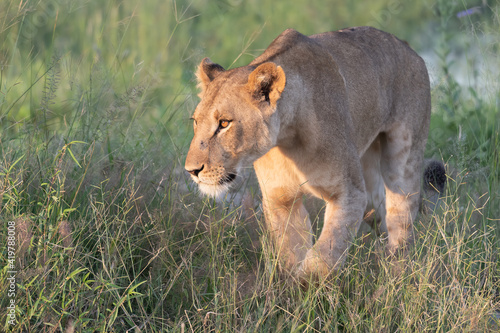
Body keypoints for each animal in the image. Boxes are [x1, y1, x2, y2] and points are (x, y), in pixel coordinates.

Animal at [186, 27, 448, 278]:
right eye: (195, 121)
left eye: (224, 123)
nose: (192, 170)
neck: (287, 138)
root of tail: (407, 46)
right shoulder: (280, 200)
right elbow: (292, 253)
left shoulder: (349, 194)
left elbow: (322, 258)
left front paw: (308, 284)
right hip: (368, 177)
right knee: (379, 211)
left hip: (403, 159)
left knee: (402, 218)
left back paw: (396, 274)